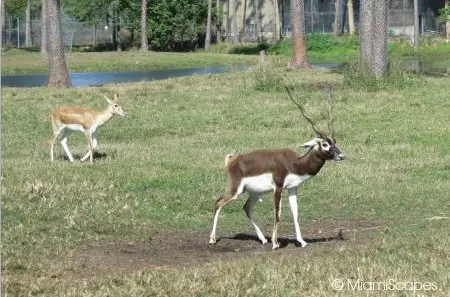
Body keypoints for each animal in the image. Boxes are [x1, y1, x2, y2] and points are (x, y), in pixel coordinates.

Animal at [209, 86, 346, 249]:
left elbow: (295, 213)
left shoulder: (293, 188)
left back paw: (263, 239)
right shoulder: (278, 187)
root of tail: (232, 160)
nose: (341, 156)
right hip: (235, 190)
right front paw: (275, 243)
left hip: (254, 193)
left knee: (246, 208)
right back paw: (212, 239)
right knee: (218, 203)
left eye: (335, 142)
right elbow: (278, 213)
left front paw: (301, 241)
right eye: (324, 144)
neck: (295, 163)